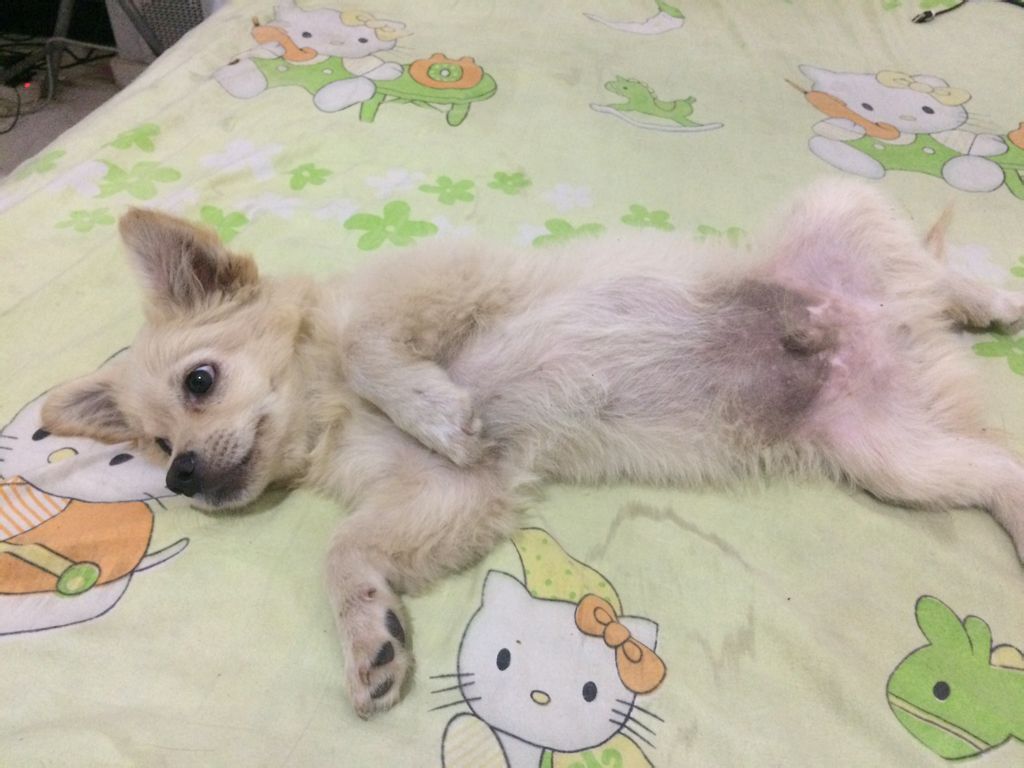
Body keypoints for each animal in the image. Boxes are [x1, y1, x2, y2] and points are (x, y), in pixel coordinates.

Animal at [40, 179, 1024, 717]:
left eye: (200, 382)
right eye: (156, 442)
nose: (180, 476)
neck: (332, 414)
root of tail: (884, 328)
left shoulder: (433, 289)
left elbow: (367, 343)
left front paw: (436, 406)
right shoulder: (452, 495)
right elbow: (347, 549)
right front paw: (370, 639)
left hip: (836, 213)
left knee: (933, 268)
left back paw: (990, 301)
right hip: (890, 454)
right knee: (1001, 467)